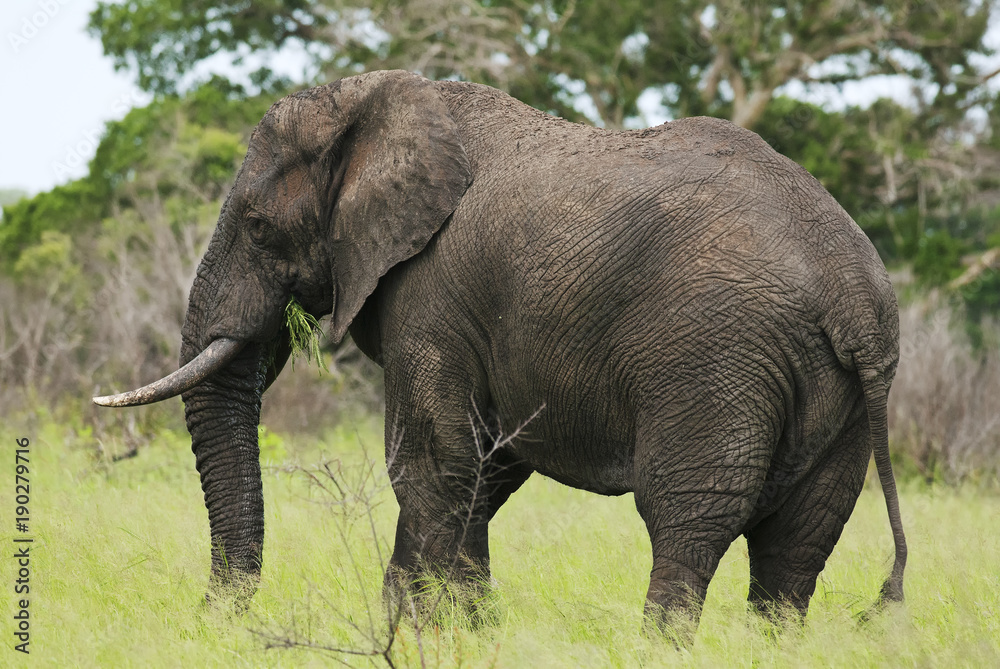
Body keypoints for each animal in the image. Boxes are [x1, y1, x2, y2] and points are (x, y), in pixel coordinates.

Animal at [94, 70, 906, 632]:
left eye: (259, 226)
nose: (213, 619)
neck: (388, 105)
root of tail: (854, 296)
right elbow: (483, 466)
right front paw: (454, 630)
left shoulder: (430, 291)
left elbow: (431, 462)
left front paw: (426, 634)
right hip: (840, 396)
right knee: (795, 550)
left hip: (715, 359)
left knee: (687, 523)